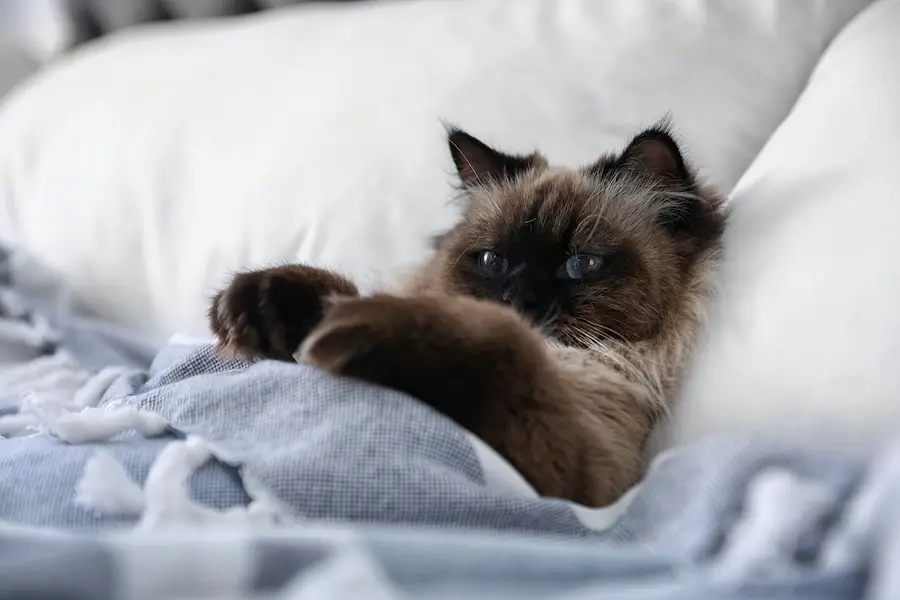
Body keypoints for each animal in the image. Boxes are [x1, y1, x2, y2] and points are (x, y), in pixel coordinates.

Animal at [209, 123, 724, 506]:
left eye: (582, 265)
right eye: (493, 262)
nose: (520, 299)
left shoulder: (593, 466)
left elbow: (498, 340)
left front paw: (350, 328)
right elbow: (344, 288)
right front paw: (261, 306)